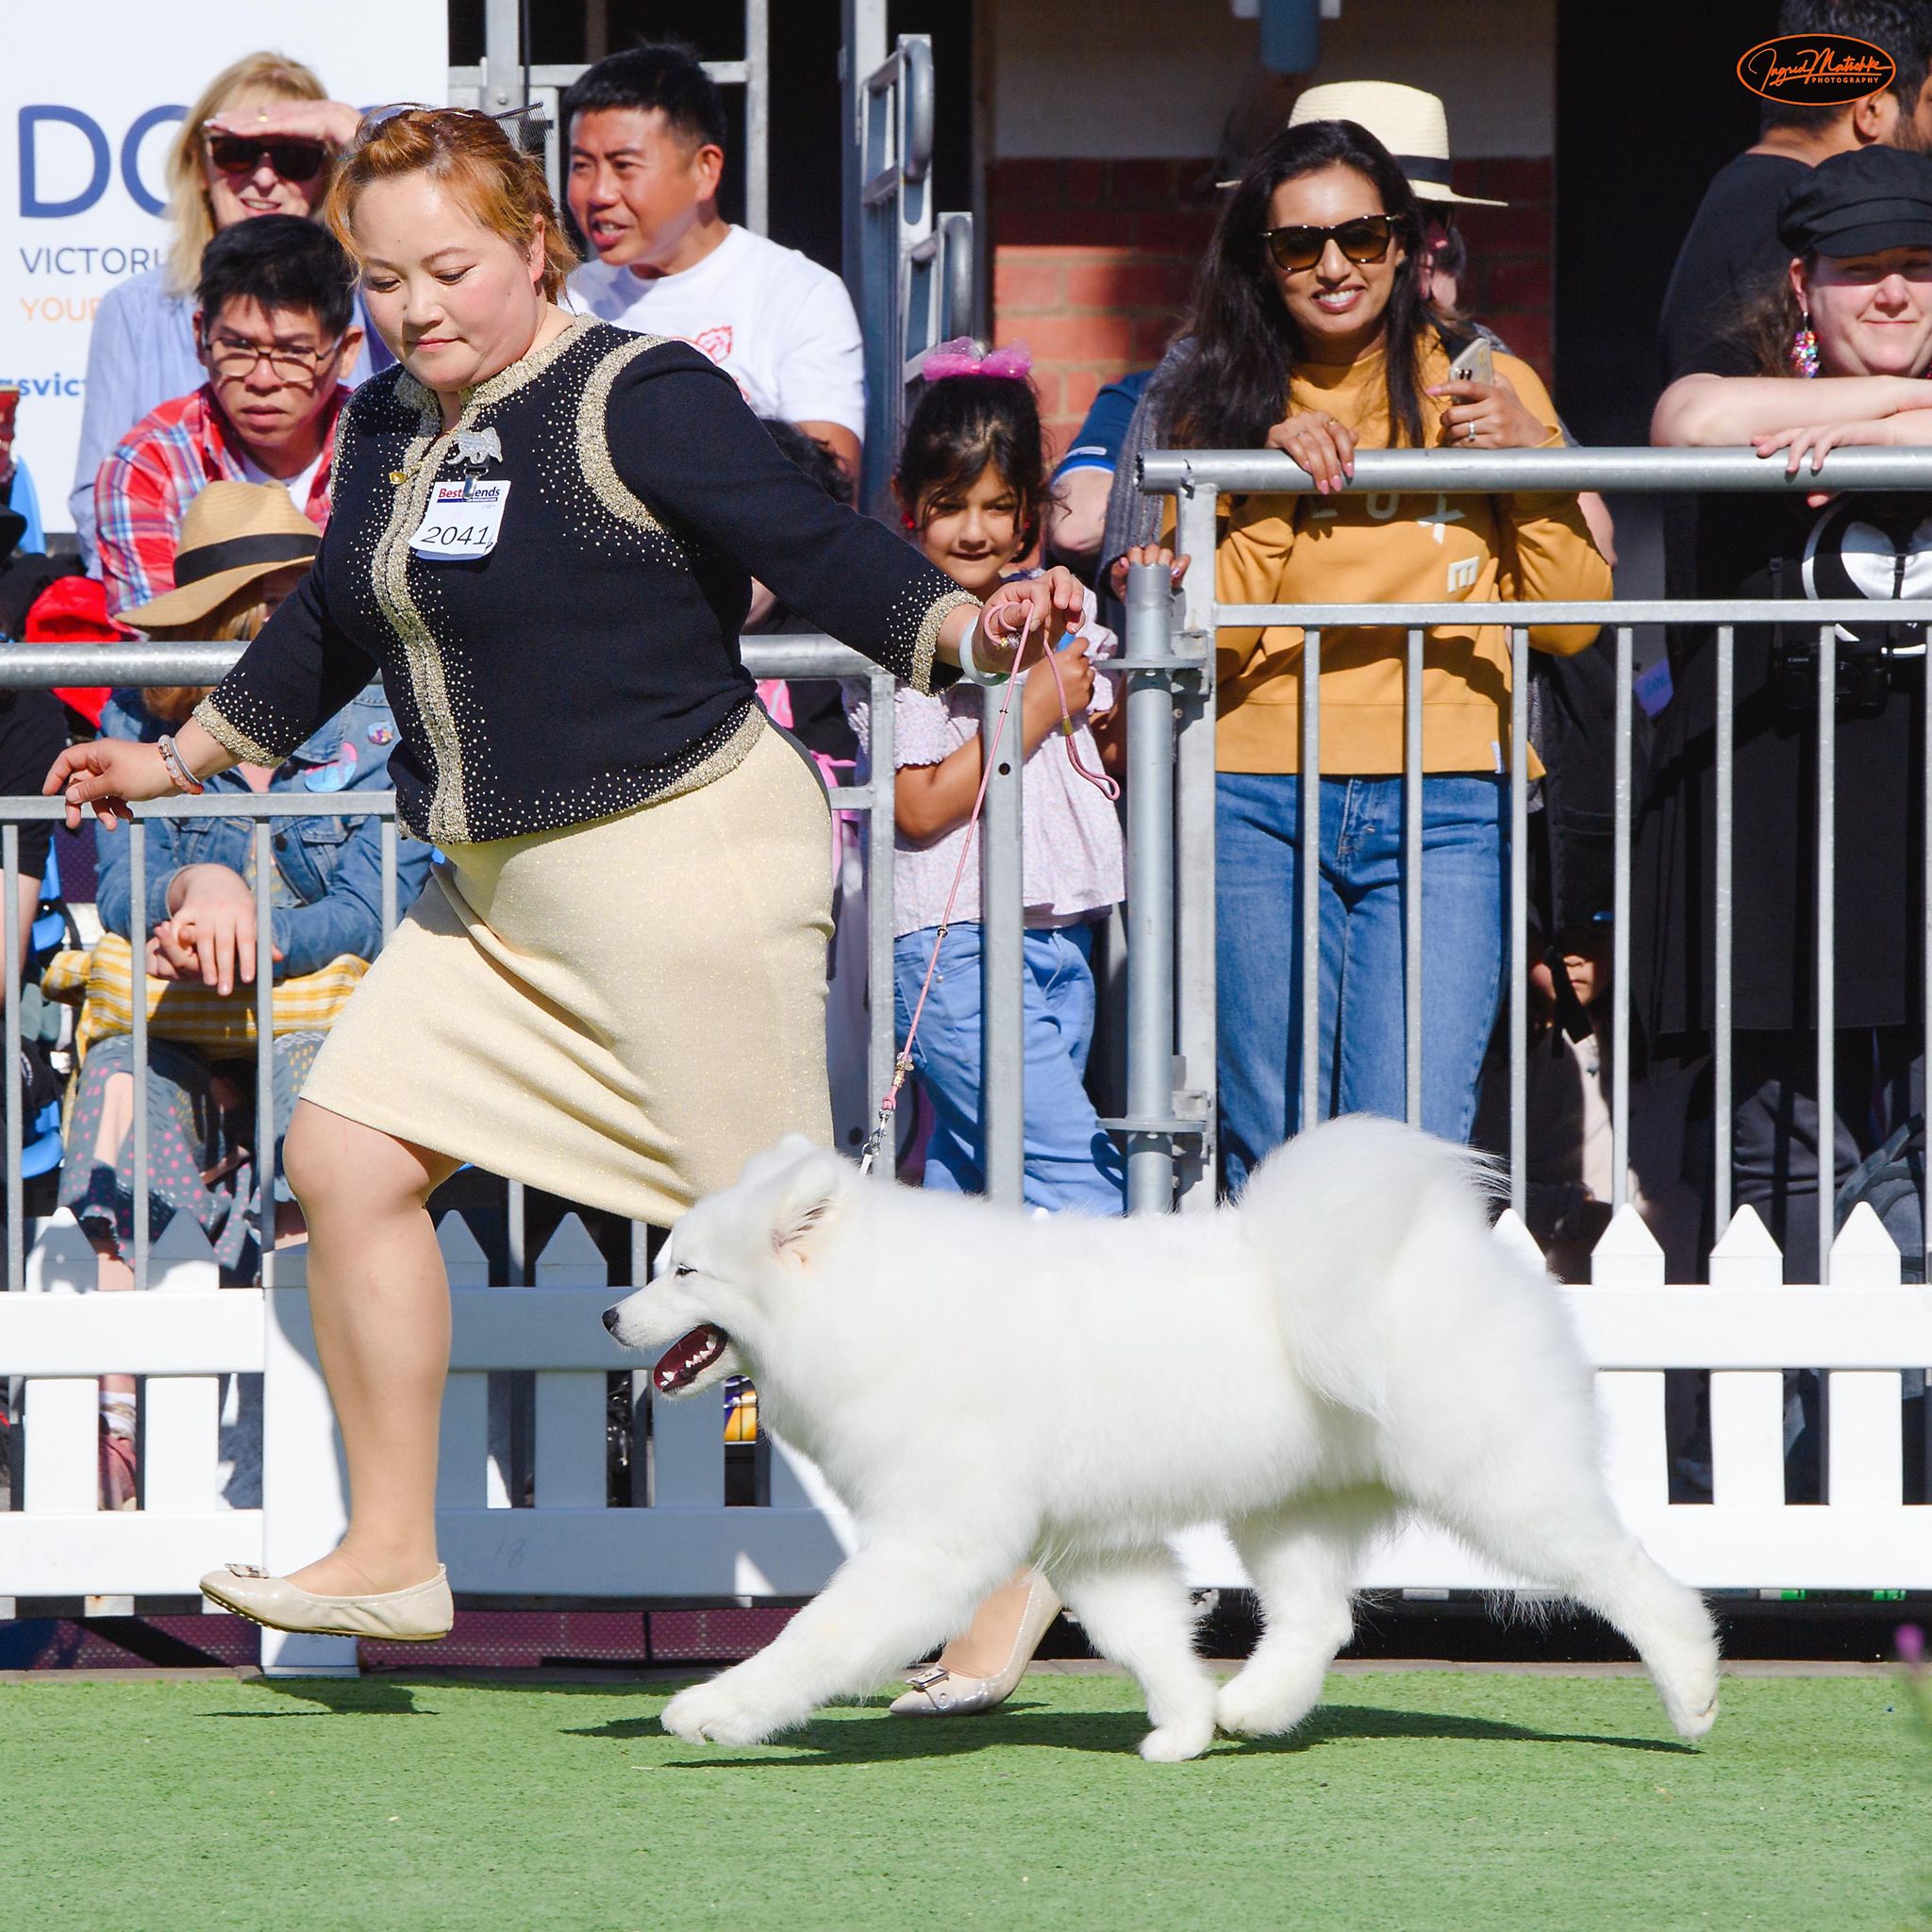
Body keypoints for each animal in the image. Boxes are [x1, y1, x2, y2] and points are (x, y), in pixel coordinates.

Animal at [604, 1116, 1720, 1761]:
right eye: (656, 1266)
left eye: (684, 1273)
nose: (612, 1316)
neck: (874, 1305)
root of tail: (1442, 1246)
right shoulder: (1093, 1547)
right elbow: (1148, 1638)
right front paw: (1182, 1728)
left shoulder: (934, 1546)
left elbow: (816, 1637)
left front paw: (715, 1709)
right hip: (1284, 1510)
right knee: (1317, 1620)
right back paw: (1249, 1711)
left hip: (1498, 1487)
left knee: (1633, 1575)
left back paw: (1694, 1689)